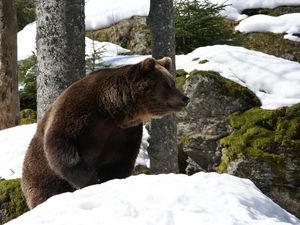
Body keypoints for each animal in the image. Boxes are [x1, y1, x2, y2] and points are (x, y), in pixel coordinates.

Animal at [21, 57, 190, 208]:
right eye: (168, 84)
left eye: (172, 82)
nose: (185, 98)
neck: (111, 110)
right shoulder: (78, 112)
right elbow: (61, 145)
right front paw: (91, 180)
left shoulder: (123, 133)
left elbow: (119, 161)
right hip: (39, 175)